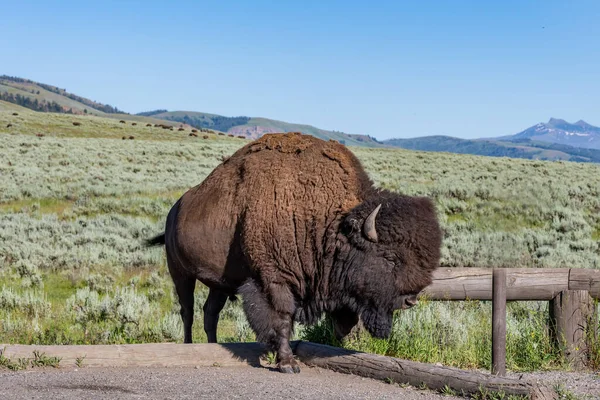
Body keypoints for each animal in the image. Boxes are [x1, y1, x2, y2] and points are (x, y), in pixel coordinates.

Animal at [146, 133, 440, 374]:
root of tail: (175, 208)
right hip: (180, 272)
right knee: (187, 310)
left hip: (219, 282)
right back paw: (188, 346)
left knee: (210, 313)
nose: (411, 300)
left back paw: (211, 345)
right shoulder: (274, 280)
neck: (329, 224)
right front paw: (287, 363)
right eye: (390, 258)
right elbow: (282, 318)